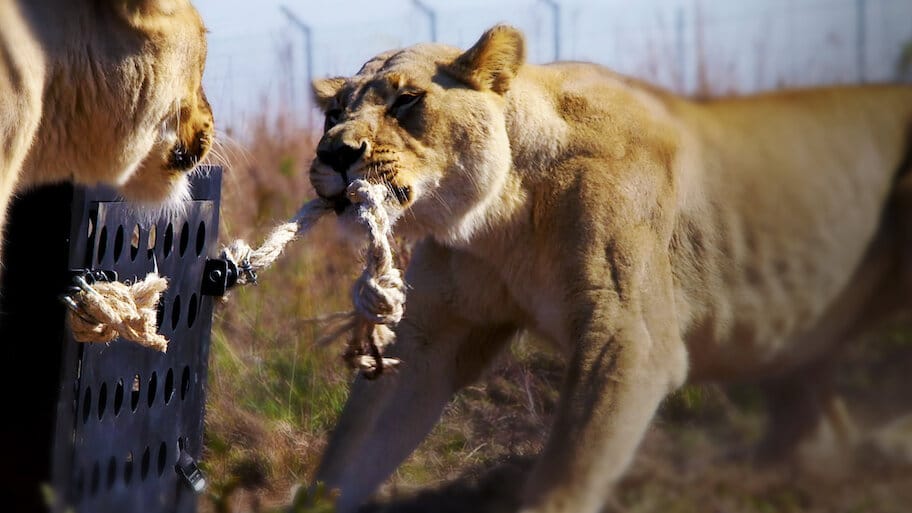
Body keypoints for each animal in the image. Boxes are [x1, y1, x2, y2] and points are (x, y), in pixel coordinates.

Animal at [307, 24, 912, 513]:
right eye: (333, 115)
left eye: (407, 101)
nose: (334, 154)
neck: (499, 219)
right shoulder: (431, 338)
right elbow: (350, 453)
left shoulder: (627, 335)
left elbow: (569, 465)